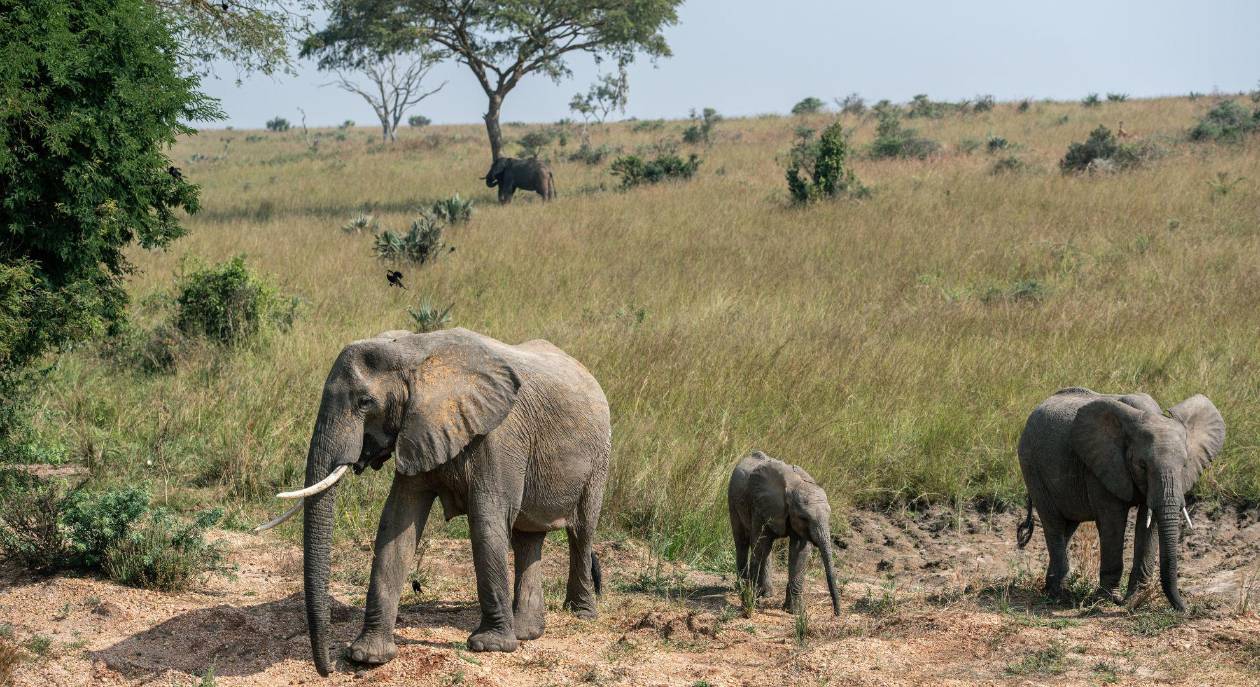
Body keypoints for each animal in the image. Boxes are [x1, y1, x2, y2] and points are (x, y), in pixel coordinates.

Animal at [257, 327, 610, 676]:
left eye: (365, 402)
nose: (329, 668)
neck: (415, 351)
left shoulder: (499, 435)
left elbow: (487, 522)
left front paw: (489, 647)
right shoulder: (417, 430)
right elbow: (397, 524)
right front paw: (366, 657)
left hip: (600, 457)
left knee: (580, 532)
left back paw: (580, 614)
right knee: (528, 538)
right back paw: (526, 632)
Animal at [727, 451, 841, 615]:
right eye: (804, 517)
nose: (837, 613)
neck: (794, 486)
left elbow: (799, 552)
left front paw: (794, 611)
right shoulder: (760, 506)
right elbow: (758, 544)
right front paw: (750, 601)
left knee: (766, 548)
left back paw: (767, 594)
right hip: (732, 499)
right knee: (743, 541)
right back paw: (743, 587)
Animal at [1016, 387, 1225, 611]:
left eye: (1185, 465)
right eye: (1142, 465)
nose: (1186, 609)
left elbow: (1148, 523)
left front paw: (1134, 599)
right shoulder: (1101, 466)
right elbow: (1112, 521)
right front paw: (1108, 600)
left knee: (1067, 526)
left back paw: (1051, 589)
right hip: (1031, 466)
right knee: (1053, 523)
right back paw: (1060, 596)